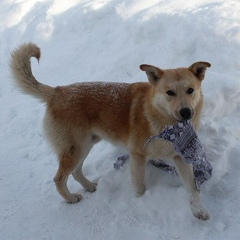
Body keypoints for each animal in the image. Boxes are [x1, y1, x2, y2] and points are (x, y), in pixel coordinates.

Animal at [10, 42, 210, 219]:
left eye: (190, 90)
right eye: (170, 93)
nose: (186, 112)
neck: (164, 123)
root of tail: (57, 92)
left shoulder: (180, 157)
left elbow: (192, 188)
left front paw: (199, 211)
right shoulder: (137, 156)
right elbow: (140, 186)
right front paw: (141, 201)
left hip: (86, 145)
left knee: (76, 171)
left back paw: (89, 186)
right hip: (75, 149)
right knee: (59, 178)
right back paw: (71, 198)